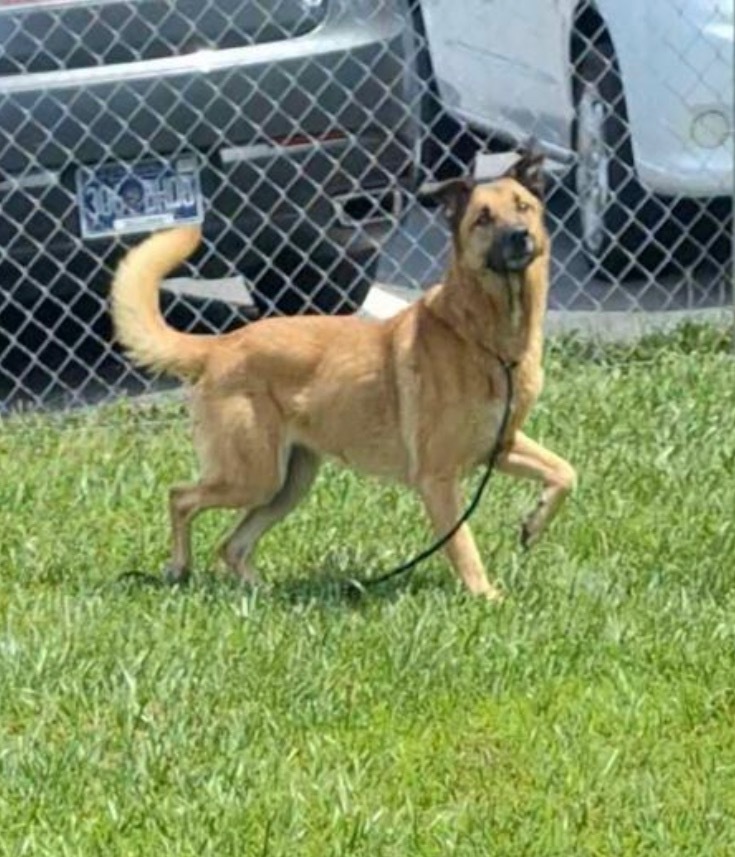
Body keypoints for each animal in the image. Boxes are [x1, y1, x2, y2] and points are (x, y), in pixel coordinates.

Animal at [112, 147, 576, 600]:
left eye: (523, 206)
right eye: (483, 218)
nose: (520, 235)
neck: (486, 339)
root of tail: (219, 345)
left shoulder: (501, 446)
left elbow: (566, 472)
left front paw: (534, 524)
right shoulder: (438, 479)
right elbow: (464, 547)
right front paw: (487, 599)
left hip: (287, 482)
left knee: (233, 544)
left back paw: (264, 595)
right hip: (252, 477)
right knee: (180, 497)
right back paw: (179, 569)